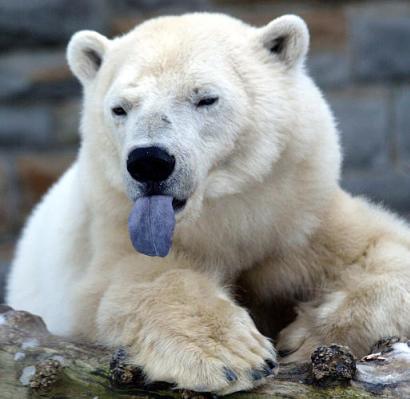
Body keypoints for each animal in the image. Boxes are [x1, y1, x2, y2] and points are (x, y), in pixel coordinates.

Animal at [4, 12, 410, 396]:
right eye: (120, 108)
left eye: (206, 98)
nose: (149, 161)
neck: (216, 216)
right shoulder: (113, 228)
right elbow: (136, 282)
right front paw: (231, 355)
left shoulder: (299, 213)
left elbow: (382, 249)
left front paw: (309, 335)